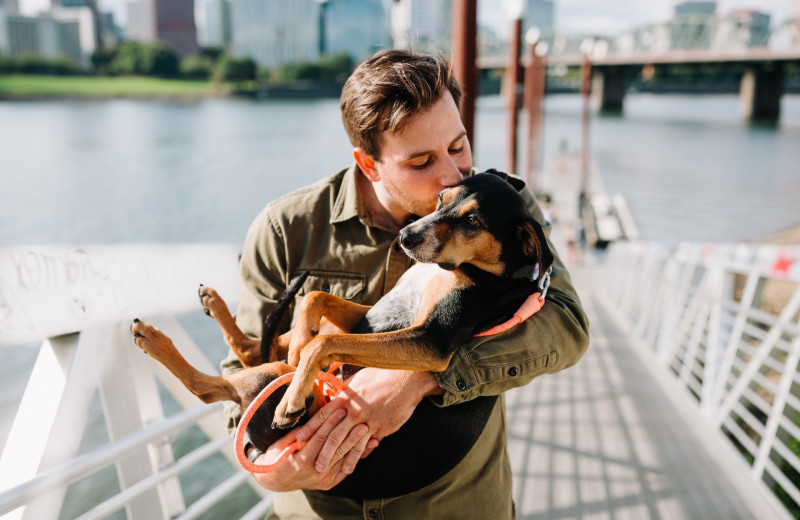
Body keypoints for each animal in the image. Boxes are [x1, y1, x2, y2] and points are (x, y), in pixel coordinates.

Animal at [133, 171, 556, 460]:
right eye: (441, 197)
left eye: (472, 222)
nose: (406, 236)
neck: (469, 271)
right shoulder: (373, 313)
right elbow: (313, 299)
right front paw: (301, 343)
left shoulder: (429, 341)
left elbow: (324, 341)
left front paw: (294, 395)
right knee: (254, 348)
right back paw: (214, 306)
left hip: (266, 379)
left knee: (207, 386)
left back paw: (153, 338)